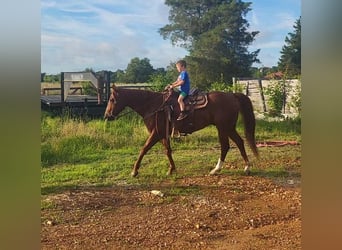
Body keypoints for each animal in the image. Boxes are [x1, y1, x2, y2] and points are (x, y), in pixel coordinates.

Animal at [103, 87, 258, 177]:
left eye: (112, 99)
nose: (107, 116)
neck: (154, 105)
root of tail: (232, 96)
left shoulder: (156, 133)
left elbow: (144, 149)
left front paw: (134, 171)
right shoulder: (162, 134)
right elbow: (168, 151)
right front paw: (171, 169)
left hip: (223, 127)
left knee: (225, 146)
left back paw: (217, 169)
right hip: (228, 127)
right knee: (239, 142)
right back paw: (246, 167)